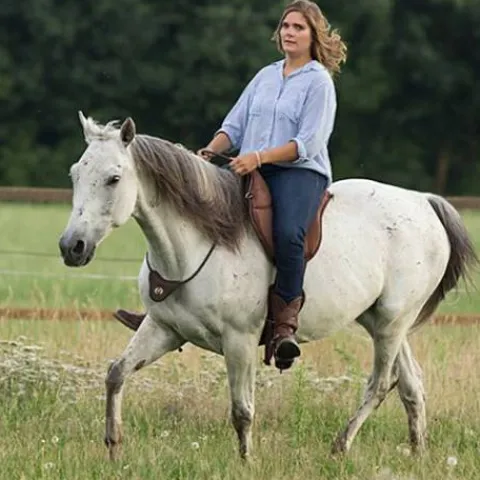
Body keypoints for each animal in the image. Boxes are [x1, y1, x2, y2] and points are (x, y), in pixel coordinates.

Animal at [59, 112, 477, 461]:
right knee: (410, 384)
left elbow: (242, 410)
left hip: (392, 322)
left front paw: (246, 462)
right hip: (382, 322)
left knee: (380, 383)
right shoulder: (163, 328)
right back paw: (417, 454)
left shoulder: (239, 340)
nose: (71, 247)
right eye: (75, 174)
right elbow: (116, 373)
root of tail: (424, 201)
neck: (196, 243)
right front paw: (114, 446)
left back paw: (340, 447)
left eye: (113, 178)